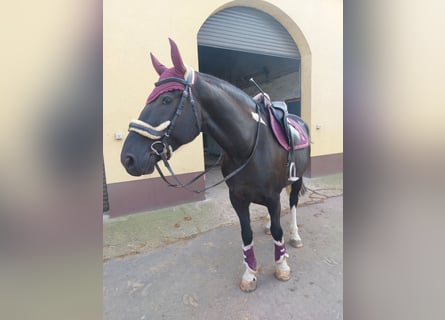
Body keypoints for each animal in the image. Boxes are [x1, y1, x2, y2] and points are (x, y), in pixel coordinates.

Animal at [119, 38, 310, 292]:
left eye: (166, 99)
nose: (128, 158)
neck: (249, 146)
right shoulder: (237, 198)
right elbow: (246, 234)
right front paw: (250, 274)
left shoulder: (271, 195)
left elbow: (279, 229)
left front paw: (281, 266)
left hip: (297, 179)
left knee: (293, 203)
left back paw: (295, 236)